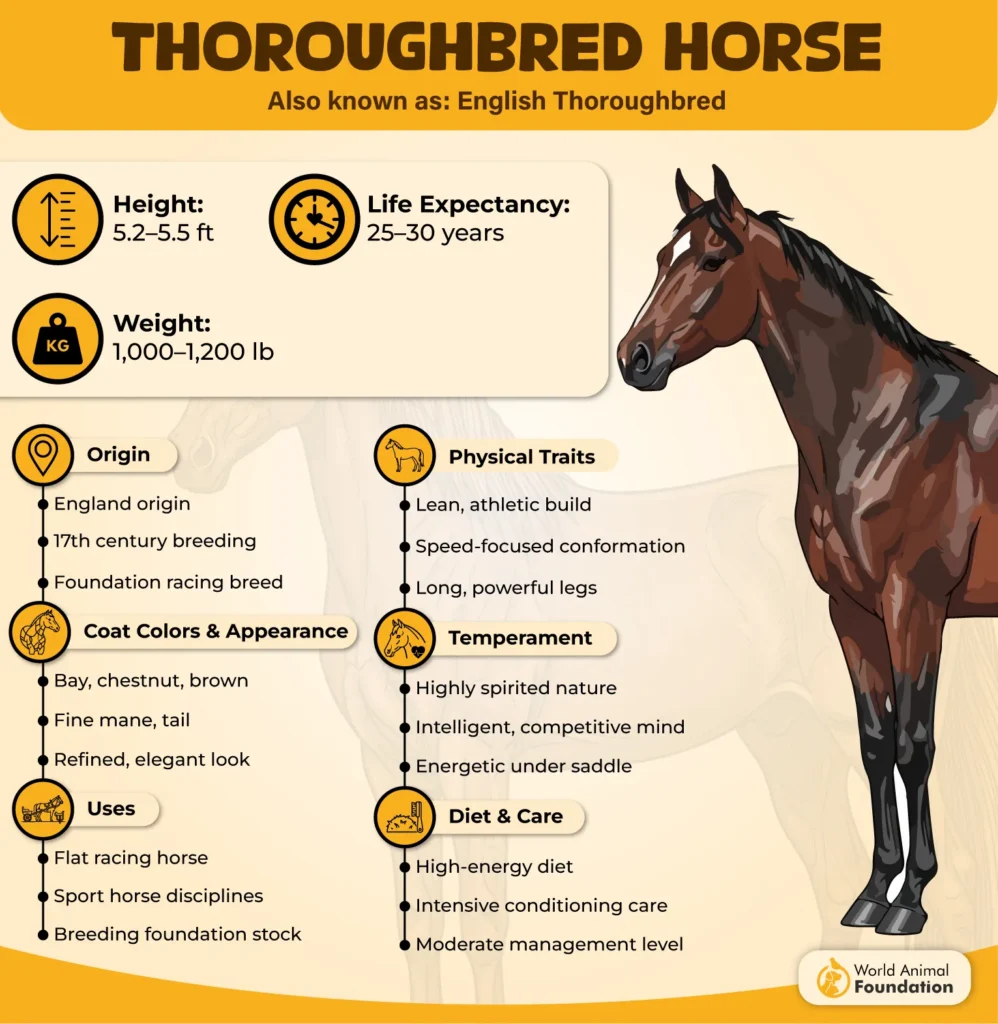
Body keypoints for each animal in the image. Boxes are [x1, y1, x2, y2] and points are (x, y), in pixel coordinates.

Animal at [618, 166, 998, 937]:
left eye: (712, 259)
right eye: (661, 258)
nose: (633, 359)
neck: (888, 430)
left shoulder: (914, 606)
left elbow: (915, 744)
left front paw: (910, 901)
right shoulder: (849, 611)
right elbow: (875, 741)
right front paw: (873, 891)